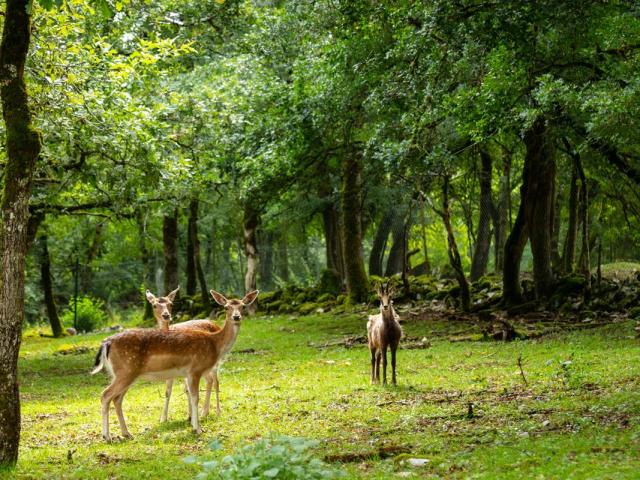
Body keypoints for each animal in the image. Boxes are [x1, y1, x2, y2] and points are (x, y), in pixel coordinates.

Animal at [92, 286, 258, 440]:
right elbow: (195, 397)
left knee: (117, 399)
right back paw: (107, 436)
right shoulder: (194, 369)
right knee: (105, 395)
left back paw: (127, 433)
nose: (236, 317)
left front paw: (193, 424)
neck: (215, 344)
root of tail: (106, 343)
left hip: (125, 374)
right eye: (226, 307)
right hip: (125, 371)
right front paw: (197, 429)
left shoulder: (190, 373)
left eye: (243, 306)